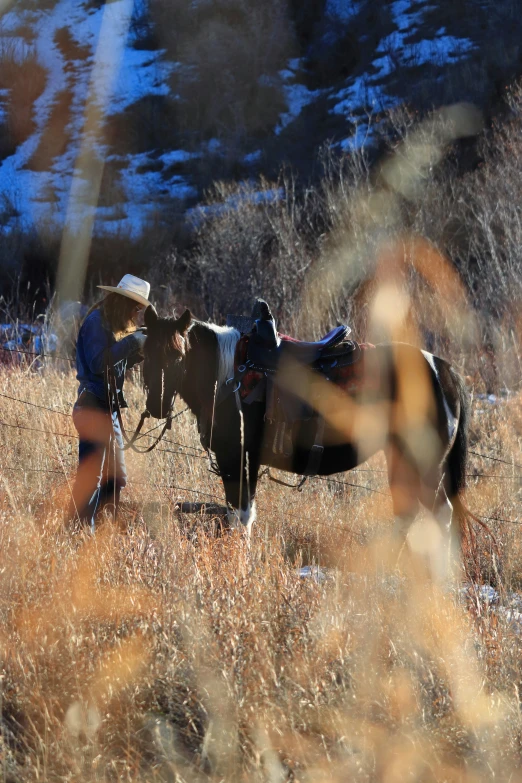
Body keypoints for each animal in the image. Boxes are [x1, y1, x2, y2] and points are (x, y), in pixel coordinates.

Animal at [141, 310, 468, 580]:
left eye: (178, 355)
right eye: (146, 355)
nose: (157, 405)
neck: (228, 379)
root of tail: (443, 370)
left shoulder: (237, 458)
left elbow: (240, 516)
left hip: (425, 464)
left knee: (440, 514)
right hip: (400, 458)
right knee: (408, 512)